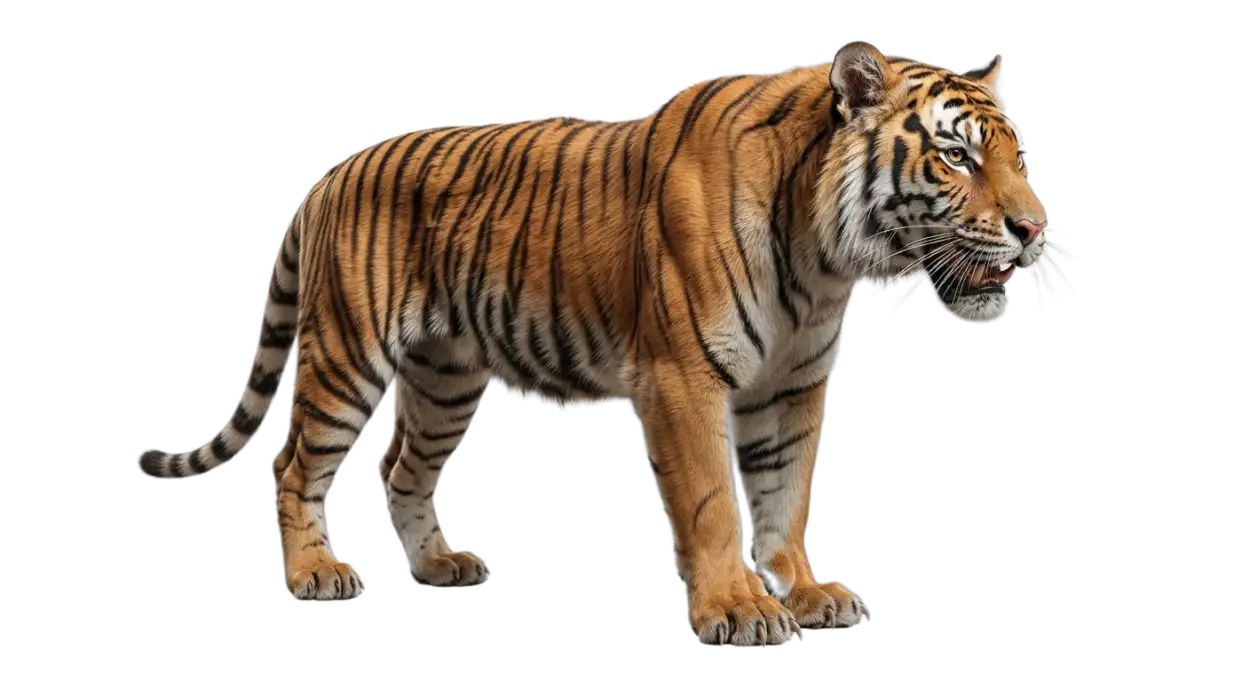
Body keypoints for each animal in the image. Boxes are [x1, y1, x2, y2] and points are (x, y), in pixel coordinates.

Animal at [134, 41, 1067, 646]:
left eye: (1017, 155)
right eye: (956, 158)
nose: (1034, 229)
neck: (824, 256)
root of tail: (330, 173)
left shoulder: (793, 386)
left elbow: (784, 494)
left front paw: (803, 590)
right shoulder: (683, 377)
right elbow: (714, 503)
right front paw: (736, 608)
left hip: (445, 380)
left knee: (401, 469)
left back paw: (438, 565)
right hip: (346, 355)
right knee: (296, 464)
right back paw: (313, 574)